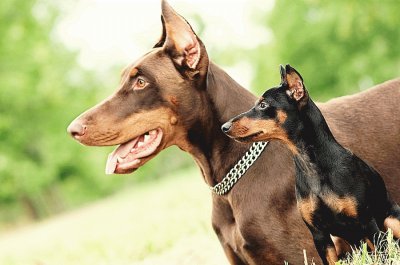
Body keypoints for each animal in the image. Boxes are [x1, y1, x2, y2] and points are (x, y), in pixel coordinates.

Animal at [222, 65, 400, 262]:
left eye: (263, 105)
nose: (224, 127)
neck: (311, 165)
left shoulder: (366, 222)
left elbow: (384, 256)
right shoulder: (319, 235)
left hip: (390, 221)